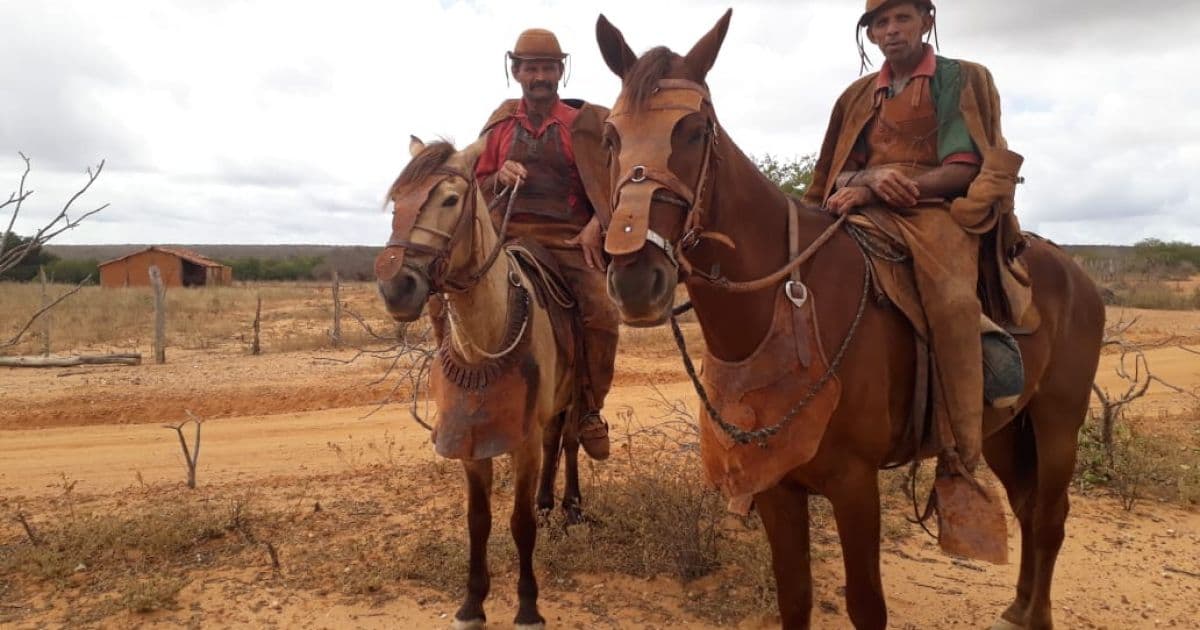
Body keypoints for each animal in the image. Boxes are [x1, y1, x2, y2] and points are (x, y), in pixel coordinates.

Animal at [595, 9, 1099, 628]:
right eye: (610, 136)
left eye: (694, 130)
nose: (635, 279)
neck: (782, 307)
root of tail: (1078, 275)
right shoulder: (777, 487)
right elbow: (794, 598)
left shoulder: (855, 485)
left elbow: (866, 605)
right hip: (1004, 427)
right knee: (1027, 507)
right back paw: (1020, 604)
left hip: (1058, 420)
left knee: (1049, 517)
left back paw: (1036, 612)